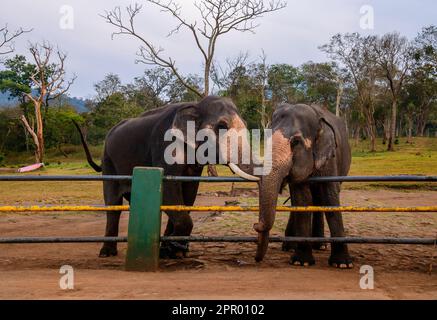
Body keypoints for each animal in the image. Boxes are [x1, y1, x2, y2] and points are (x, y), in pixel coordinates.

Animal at [73, 95, 258, 258]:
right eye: (222, 126)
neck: (196, 104)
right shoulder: (164, 145)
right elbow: (169, 190)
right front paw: (172, 250)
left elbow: (188, 194)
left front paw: (173, 252)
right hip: (108, 161)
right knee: (113, 204)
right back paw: (107, 253)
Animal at [254, 102, 352, 268]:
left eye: (296, 142)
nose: (256, 225)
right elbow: (302, 199)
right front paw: (301, 261)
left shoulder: (330, 158)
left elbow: (330, 197)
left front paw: (342, 264)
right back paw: (291, 246)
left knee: (320, 199)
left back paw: (320, 245)